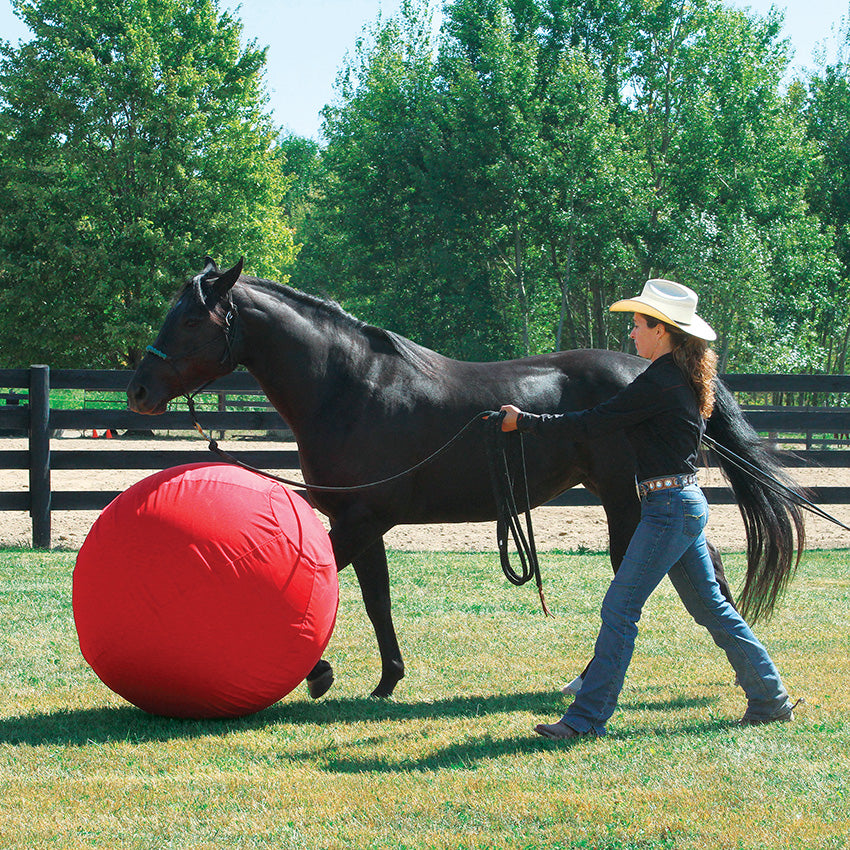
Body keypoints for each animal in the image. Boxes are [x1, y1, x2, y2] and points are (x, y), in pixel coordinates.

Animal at [126, 256, 800, 696]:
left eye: (192, 320)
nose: (138, 393)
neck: (350, 388)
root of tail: (655, 370)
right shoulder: (363, 522)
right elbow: (375, 599)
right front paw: (386, 680)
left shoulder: (360, 519)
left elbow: (334, 584)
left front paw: (320, 673)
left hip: (629, 505)